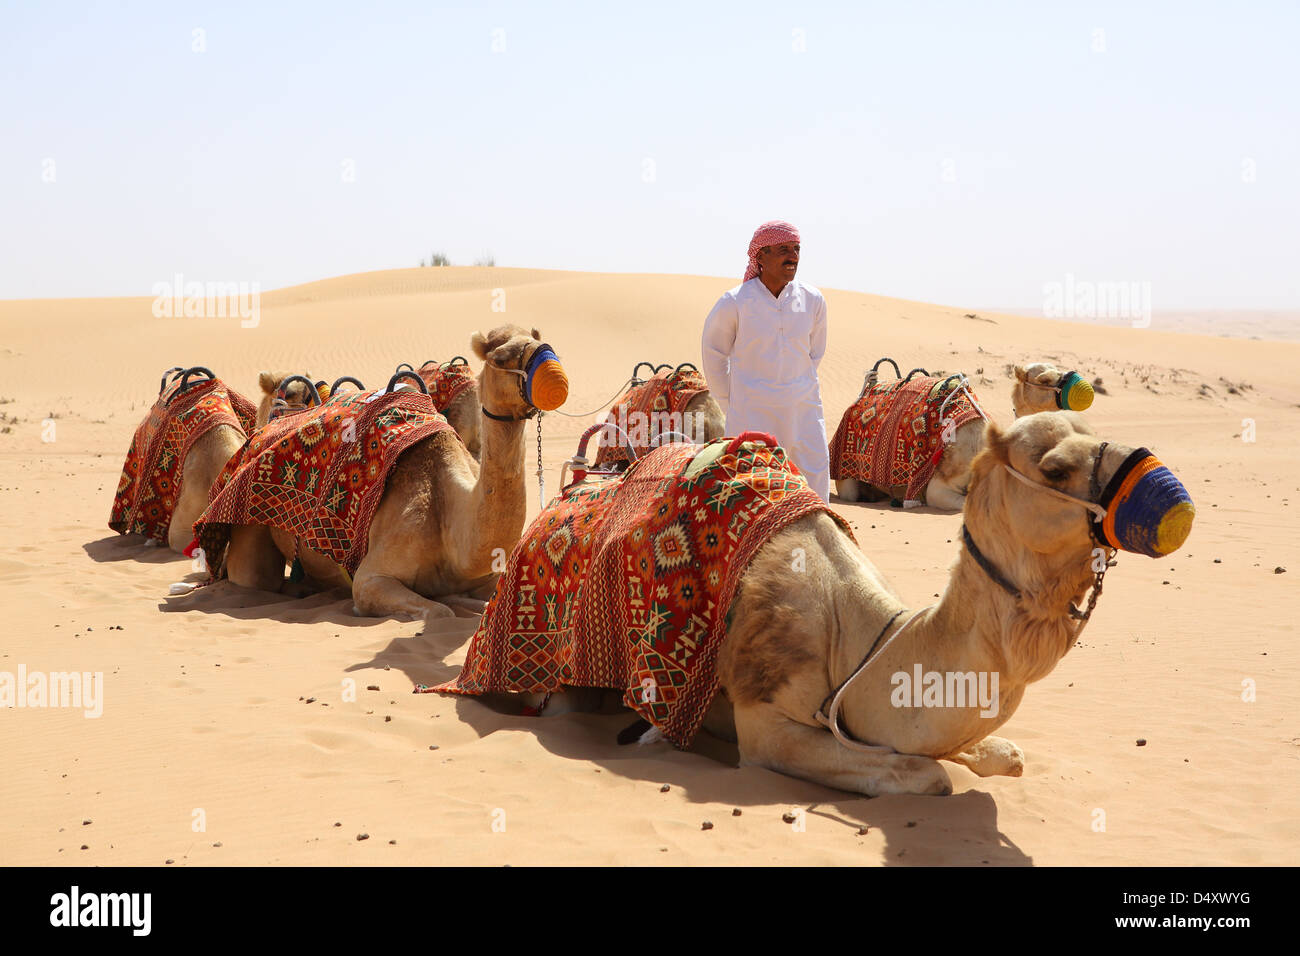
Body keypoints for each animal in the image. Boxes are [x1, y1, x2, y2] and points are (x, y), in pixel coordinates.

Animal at [220, 325, 566, 616]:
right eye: (500, 358)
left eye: (538, 338)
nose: (554, 374)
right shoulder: (370, 579)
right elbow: (440, 611)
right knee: (253, 577)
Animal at [514, 408, 1190, 790]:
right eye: (1054, 469)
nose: (1164, 489)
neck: (865, 644)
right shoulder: (768, 722)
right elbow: (927, 774)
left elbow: (1004, 753)